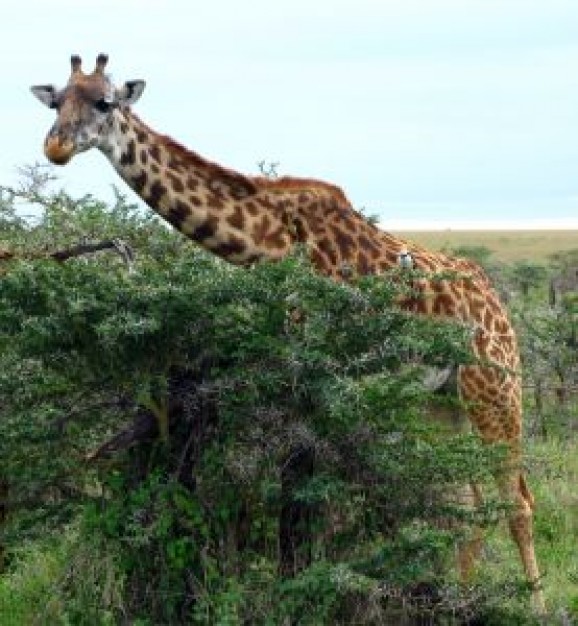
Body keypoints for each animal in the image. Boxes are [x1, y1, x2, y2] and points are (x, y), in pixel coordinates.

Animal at [30, 53, 544, 608]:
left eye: (104, 102)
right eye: (56, 102)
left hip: (494, 386)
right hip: (440, 398)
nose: (55, 147)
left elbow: (303, 495)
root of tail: (498, 304)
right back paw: (458, 598)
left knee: (516, 501)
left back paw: (534, 606)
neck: (270, 242)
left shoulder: (318, 369)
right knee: (469, 502)